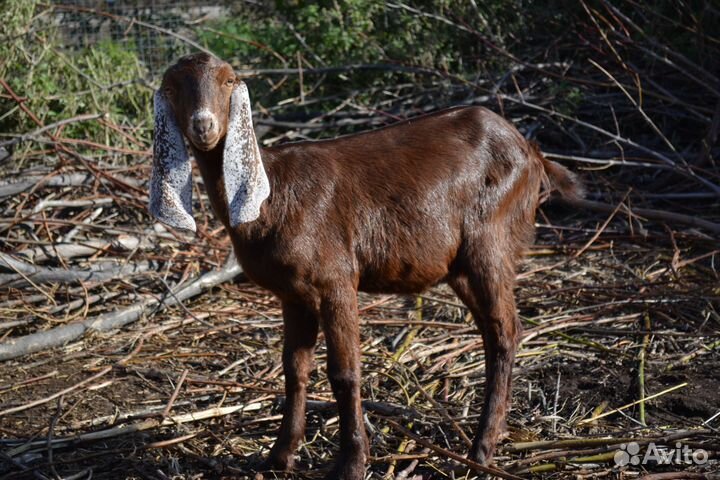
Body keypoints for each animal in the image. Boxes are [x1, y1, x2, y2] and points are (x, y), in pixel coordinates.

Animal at [149, 53, 581, 480]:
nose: (203, 124)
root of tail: (531, 150)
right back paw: (492, 436)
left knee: (506, 329)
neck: (271, 194)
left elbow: (344, 372)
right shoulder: (294, 294)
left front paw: (352, 463)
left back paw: (482, 449)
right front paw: (279, 456)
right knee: (494, 331)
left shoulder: (335, 280)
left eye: (227, 81)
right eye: (171, 87)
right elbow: (294, 368)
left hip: (490, 237)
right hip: (459, 264)